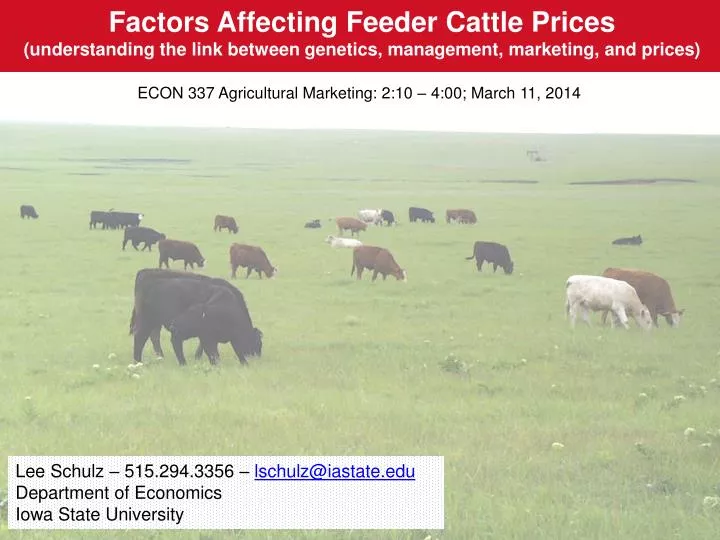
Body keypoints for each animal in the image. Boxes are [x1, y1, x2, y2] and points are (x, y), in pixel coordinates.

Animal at [129, 268, 262, 365]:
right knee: (141, 337)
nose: (257, 355)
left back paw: (159, 357)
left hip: (155, 323)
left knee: (153, 337)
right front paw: (198, 356)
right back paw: (138, 361)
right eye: (258, 342)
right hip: (148, 321)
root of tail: (144, 272)